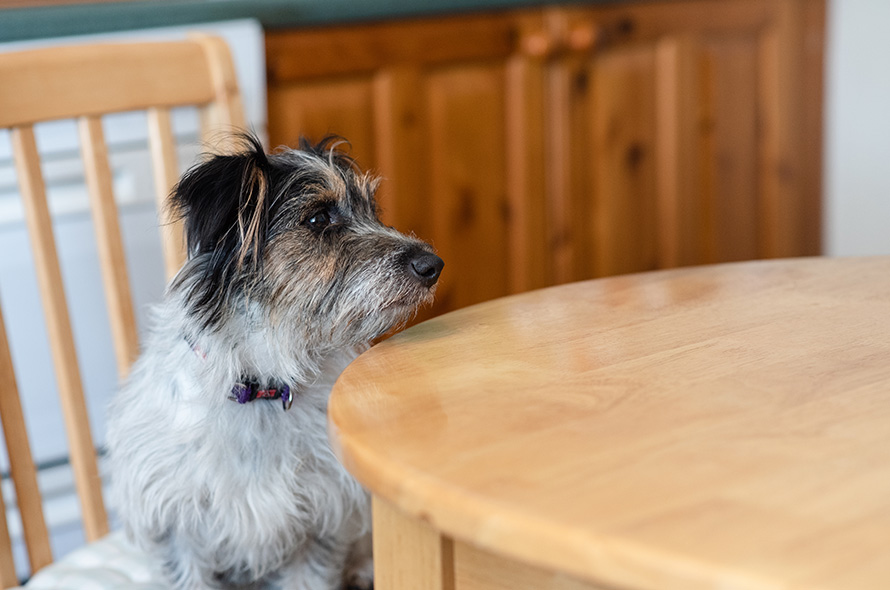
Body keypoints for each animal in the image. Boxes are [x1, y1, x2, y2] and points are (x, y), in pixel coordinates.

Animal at [106, 135, 442, 590]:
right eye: (318, 218)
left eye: (372, 210)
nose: (433, 265)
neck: (261, 385)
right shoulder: (180, 529)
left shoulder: (318, 522)